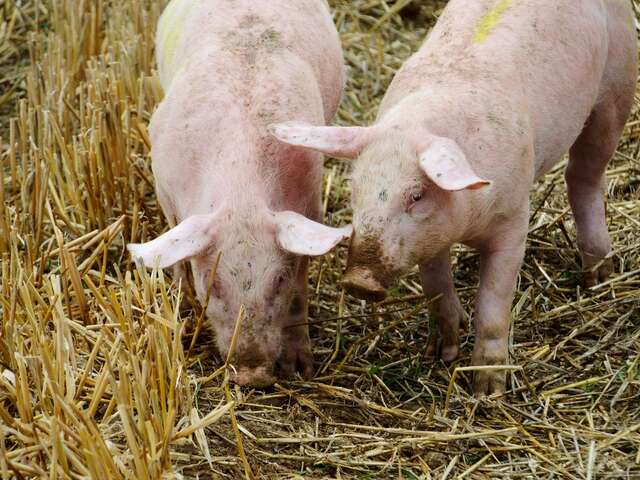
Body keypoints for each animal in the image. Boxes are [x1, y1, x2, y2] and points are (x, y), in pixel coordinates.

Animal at [127, 0, 350, 387]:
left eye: (278, 280)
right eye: (213, 283)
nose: (251, 374)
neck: (241, 195)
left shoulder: (311, 201)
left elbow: (300, 292)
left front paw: (300, 367)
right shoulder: (165, 189)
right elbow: (178, 261)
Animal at [269, 0, 638, 395]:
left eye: (416, 195)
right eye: (355, 188)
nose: (358, 279)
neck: (468, 223)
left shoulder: (513, 220)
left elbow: (494, 302)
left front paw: (487, 390)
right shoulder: (427, 238)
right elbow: (436, 288)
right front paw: (441, 352)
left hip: (617, 85)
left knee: (585, 174)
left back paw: (598, 275)